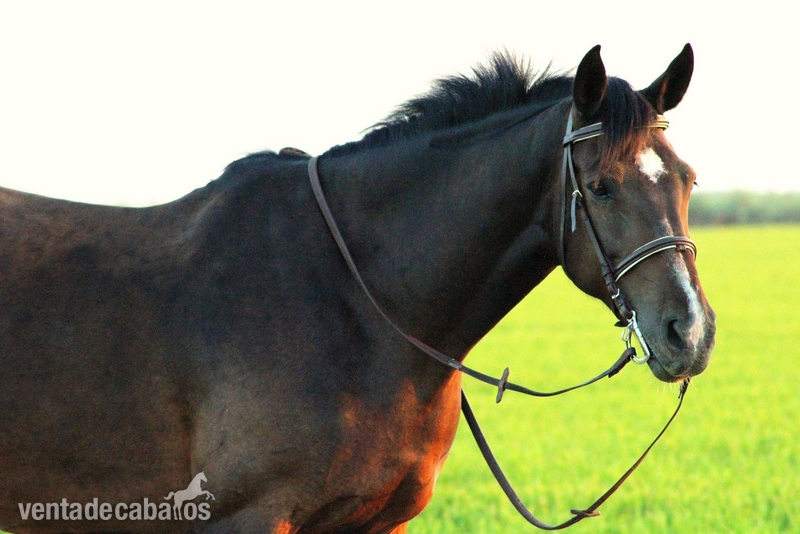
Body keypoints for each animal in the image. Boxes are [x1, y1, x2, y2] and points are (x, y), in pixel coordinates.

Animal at [0, 44, 714, 533]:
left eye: (687, 178)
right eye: (601, 187)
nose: (690, 331)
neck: (357, 306)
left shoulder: (378, 521)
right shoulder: (248, 517)